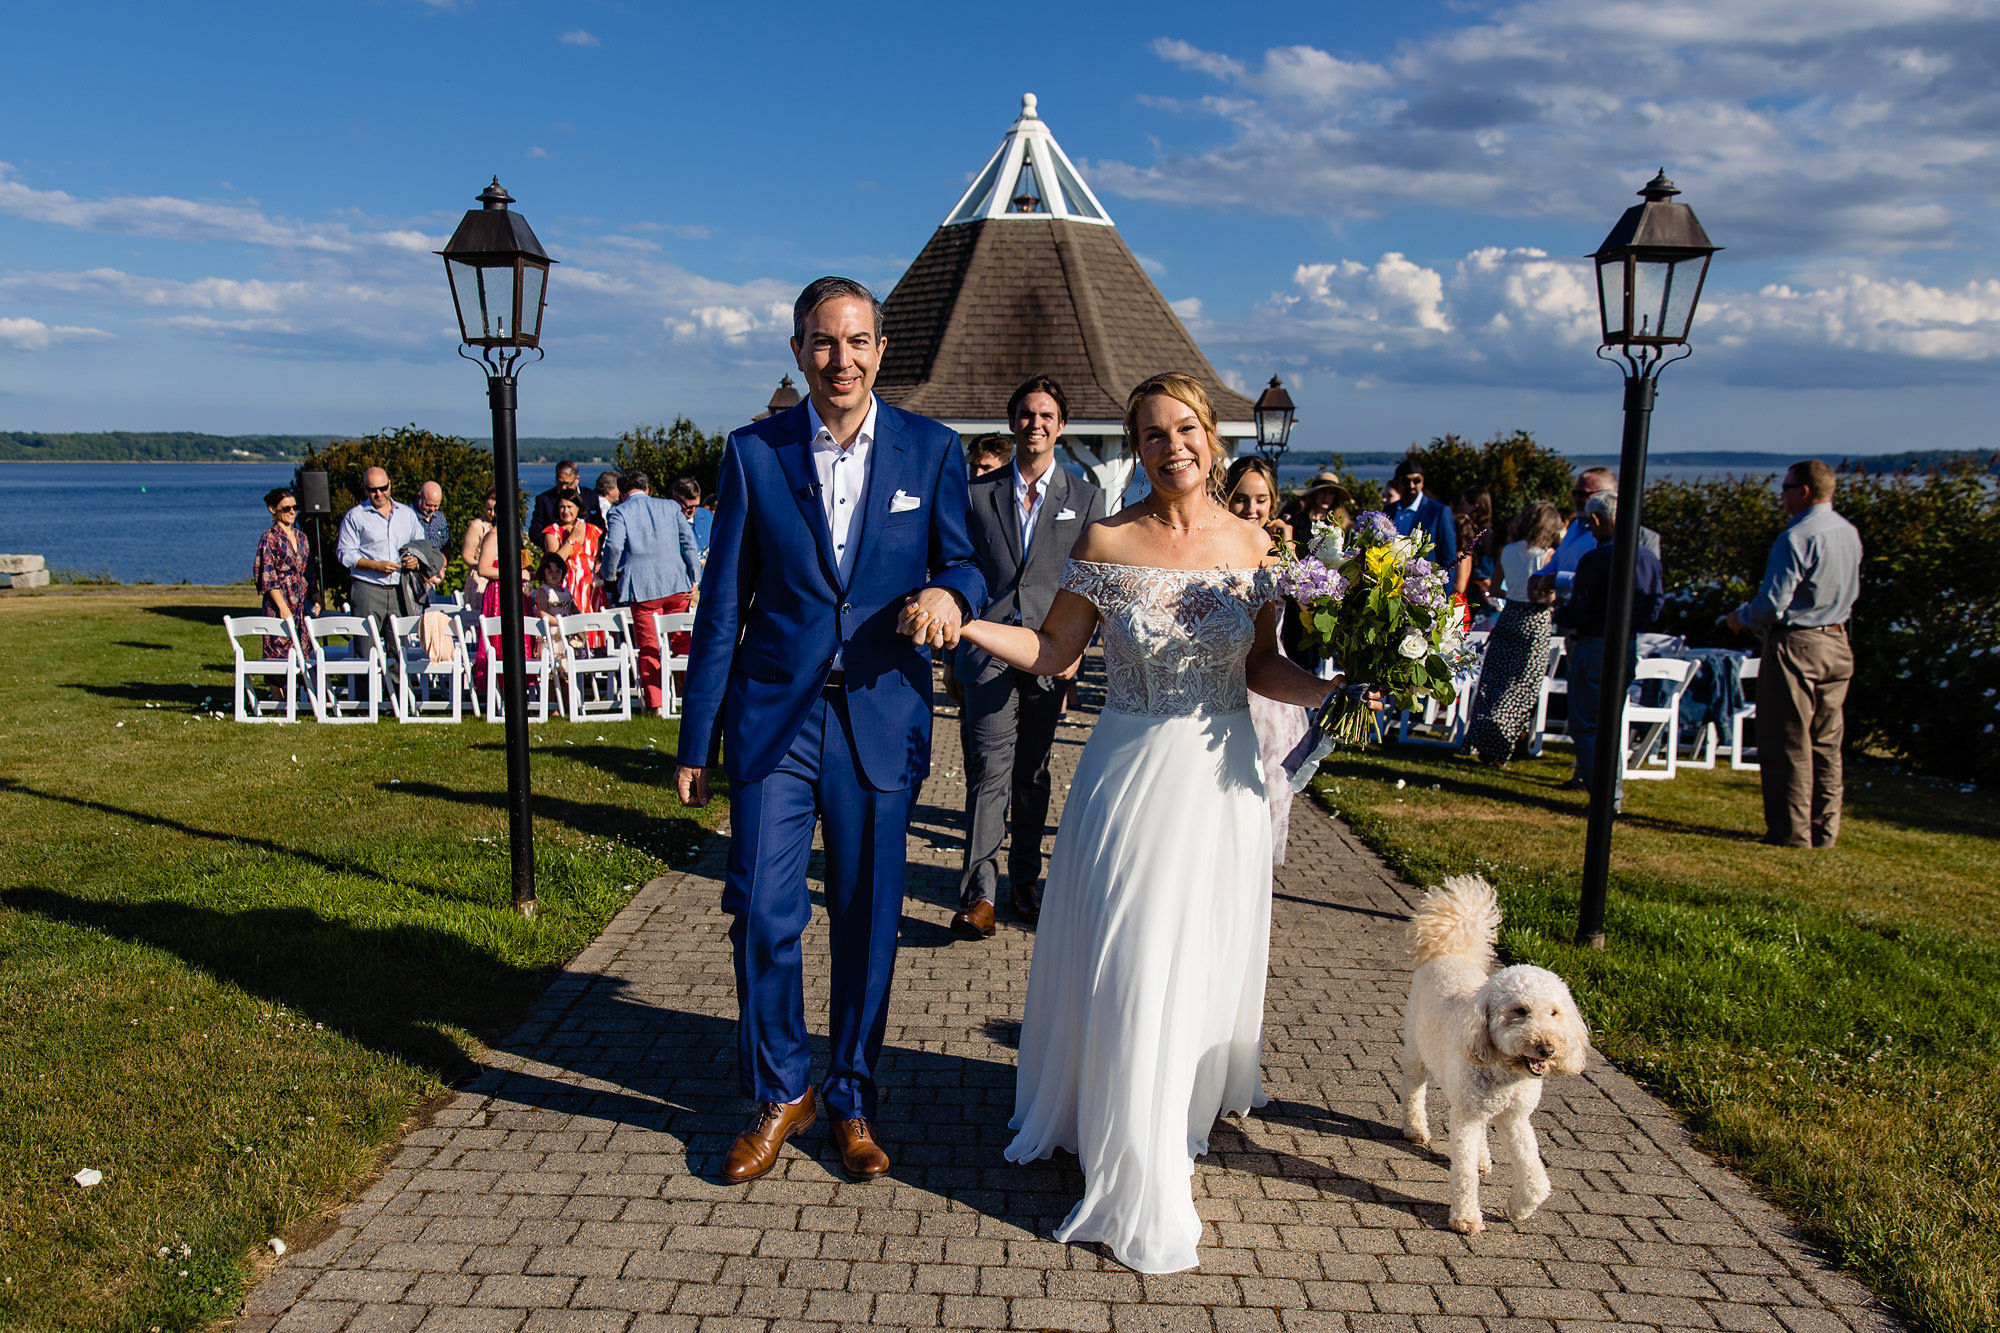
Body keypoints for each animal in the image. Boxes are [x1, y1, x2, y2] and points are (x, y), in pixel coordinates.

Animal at [1400, 876, 1584, 1232]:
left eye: (1554, 1012)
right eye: (1520, 1010)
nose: (1546, 1048)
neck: (1505, 1073)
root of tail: (1450, 951)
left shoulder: (1516, 1116)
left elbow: (1536, 1176)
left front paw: (1520, 1207)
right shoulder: (1468, 1115)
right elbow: (1464, 1173)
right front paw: (1466, 1217)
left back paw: (1483, 1157)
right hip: (1417, 1052)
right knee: (1414, 1090)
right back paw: (1416, 1129)